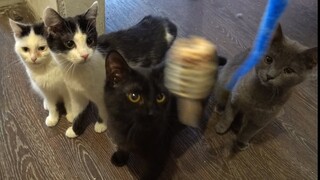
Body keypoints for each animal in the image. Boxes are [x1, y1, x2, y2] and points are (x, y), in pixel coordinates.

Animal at [42, 1, 108, 138]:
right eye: (69, 43)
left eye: (89, 40)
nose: (85, 55)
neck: (79, 72)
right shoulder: (75, 93)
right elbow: (78, 110)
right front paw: (75, 130)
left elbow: (103, 108)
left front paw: (102, 124)